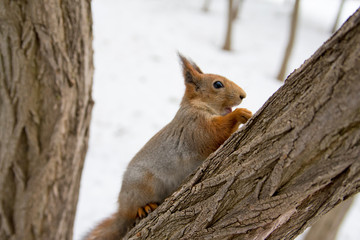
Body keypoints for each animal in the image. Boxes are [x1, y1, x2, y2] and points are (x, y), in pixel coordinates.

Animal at [85, 53, 252, 239]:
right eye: (217, 84)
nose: (243, 95)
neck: (198, 105)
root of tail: (121, 209)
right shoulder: (195, 125)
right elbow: (215, 133)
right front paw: (240, 113)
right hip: (141, 185)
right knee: (133, 210)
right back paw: (144, 207)